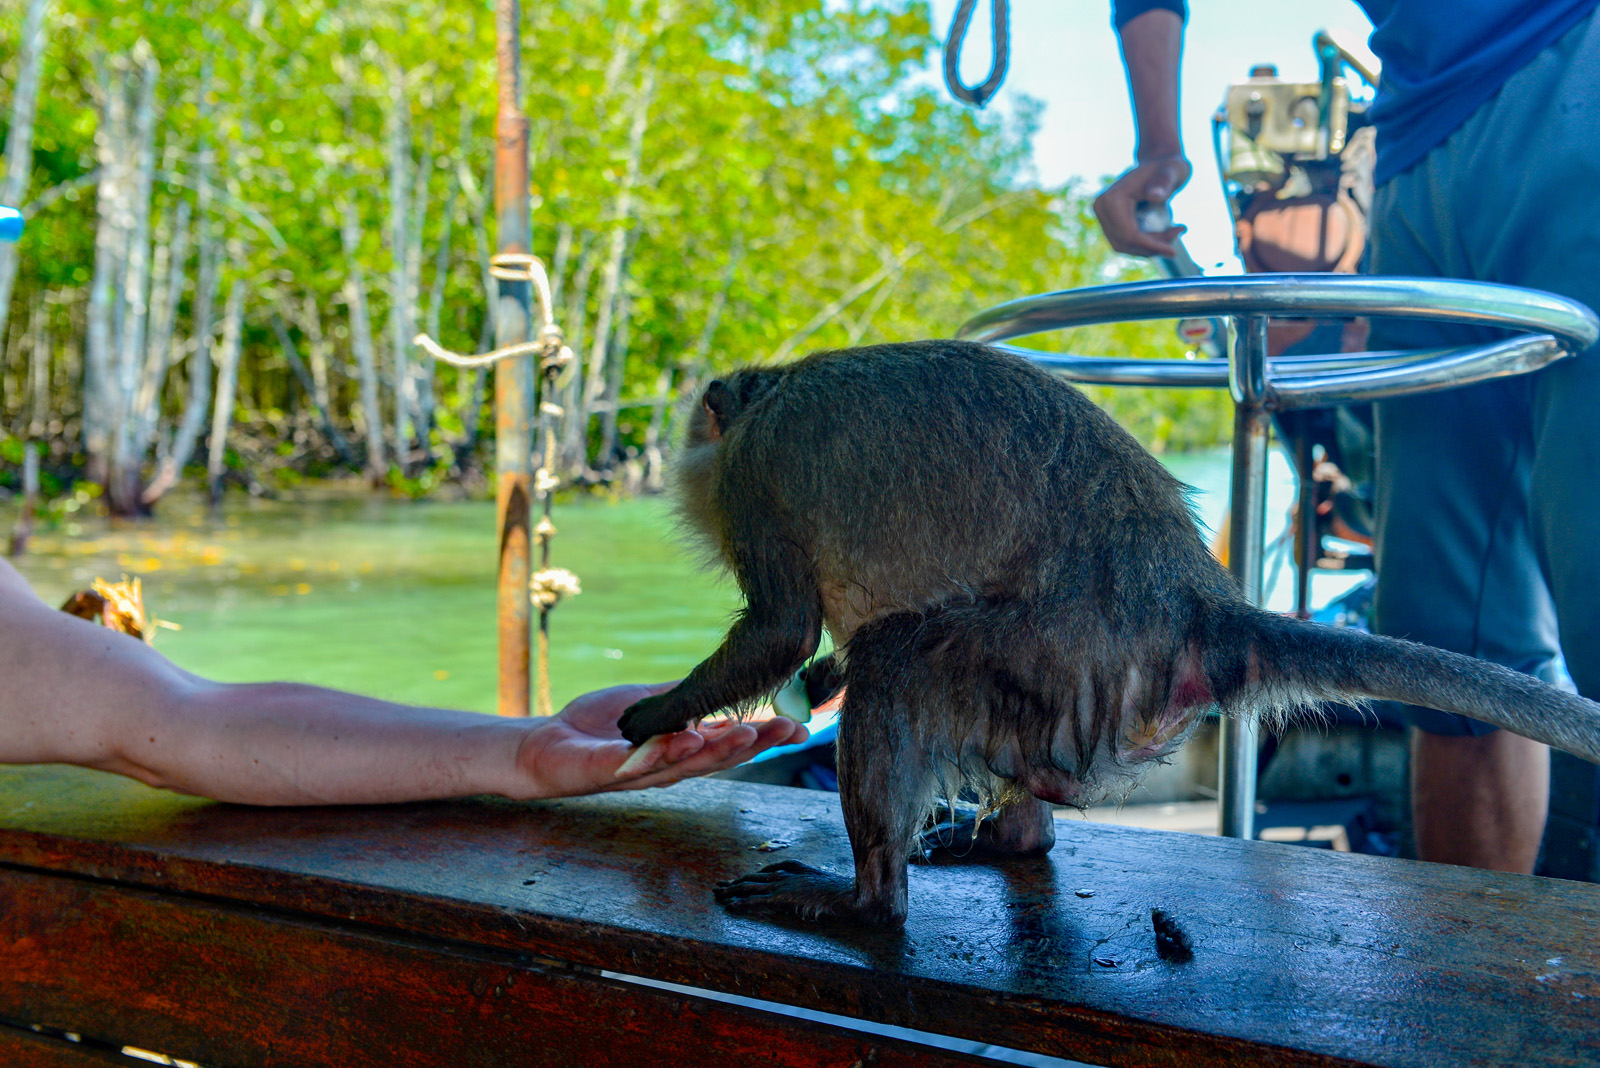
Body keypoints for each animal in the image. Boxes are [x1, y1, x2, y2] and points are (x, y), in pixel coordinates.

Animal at [614, 340, 1600, 927]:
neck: (774, 386)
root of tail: (1193, 602)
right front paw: (807, 683)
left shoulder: (755, 473)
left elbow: (782, 629)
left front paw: (654, 714)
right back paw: (1014, 839)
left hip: (1066, 653)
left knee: (899, 662)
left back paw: (869, 903)